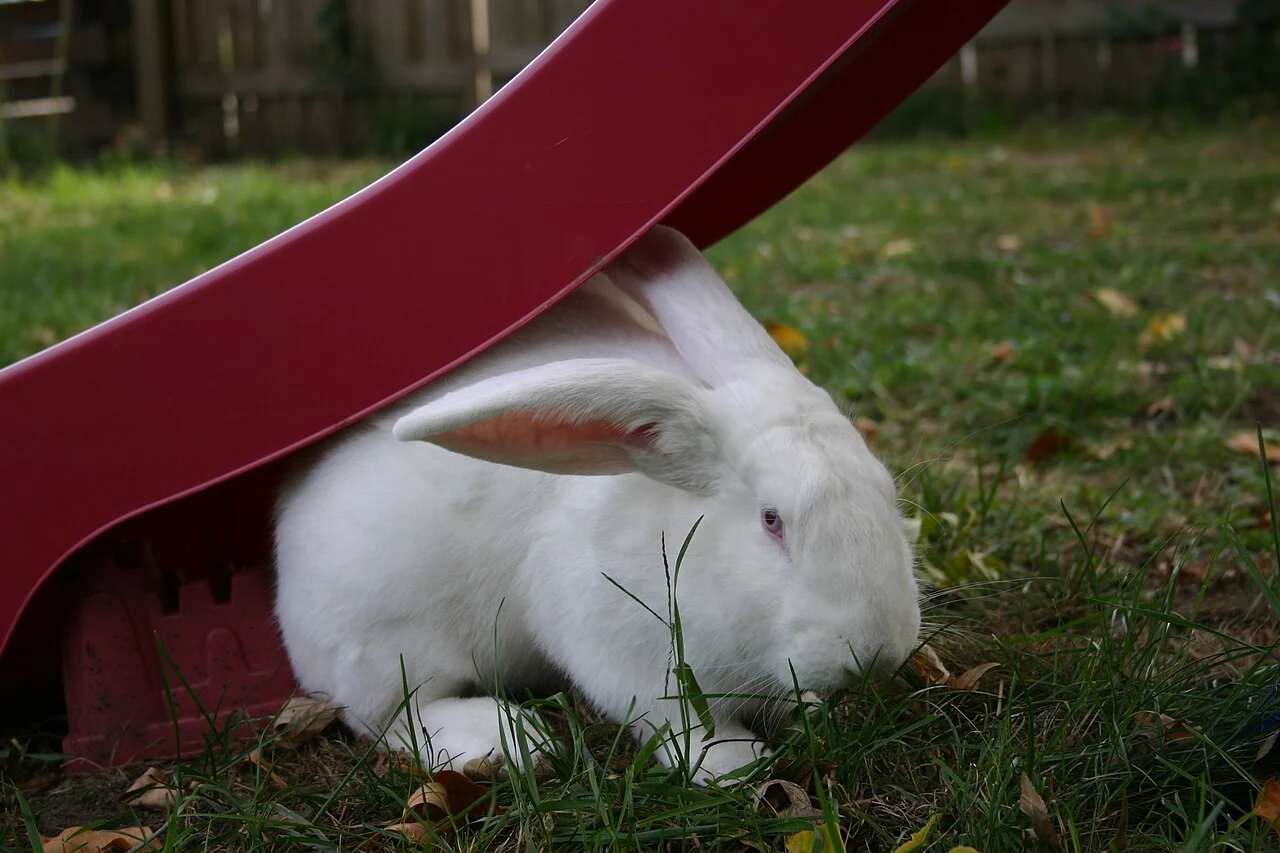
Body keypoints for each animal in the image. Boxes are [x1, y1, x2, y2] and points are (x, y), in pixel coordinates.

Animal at [273, 225, 920, 783]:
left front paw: (807, 712)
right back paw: (512, 742)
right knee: (393, 719)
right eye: (771, 521)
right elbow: (680, 722)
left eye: (887, 492)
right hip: (388, 646)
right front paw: (736, 766)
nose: (876, 653)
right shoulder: (619, 646)